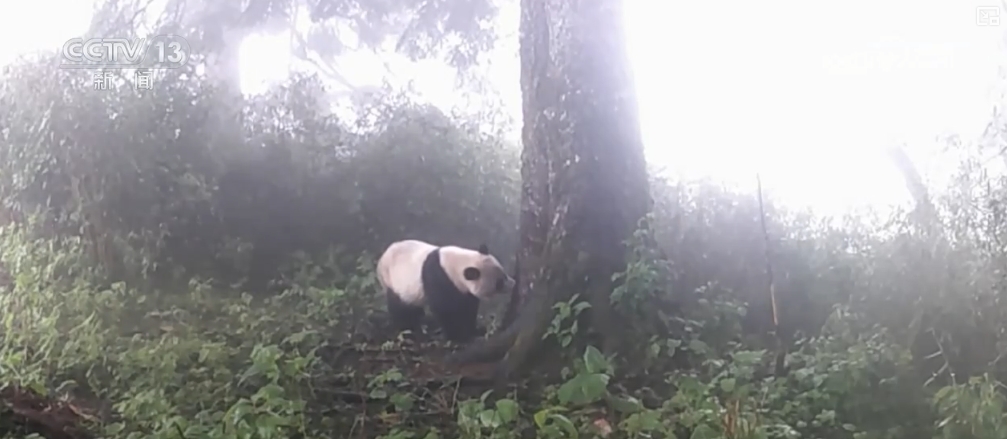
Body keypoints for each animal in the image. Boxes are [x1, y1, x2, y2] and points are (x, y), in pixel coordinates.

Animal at [378, 239, 515, 342]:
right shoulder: (439, 278)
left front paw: (474, 330)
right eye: (499, 283)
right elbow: (446, 308)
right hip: (392, 280)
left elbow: (468, 306)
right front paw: (459, 336)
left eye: (503, 273)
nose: (513, 283)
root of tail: (382, 258)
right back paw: (408, 328)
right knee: (399, 306)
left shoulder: (463, 288)